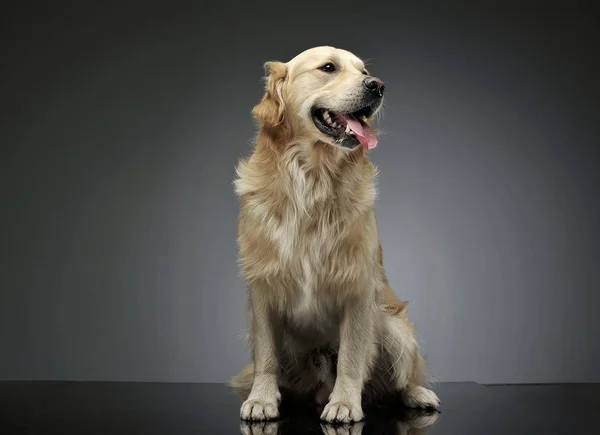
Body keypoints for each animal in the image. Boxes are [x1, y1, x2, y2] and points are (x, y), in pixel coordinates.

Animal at [227, 46, 438, 424]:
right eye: (328, 68)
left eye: (364, 71)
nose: (377, 86)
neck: (313, 177)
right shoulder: (263, 286)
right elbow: (266, 355)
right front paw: (262, 399)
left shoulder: (357, 287)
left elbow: (352, 357)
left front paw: (344, 403)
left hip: (394, 327)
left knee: (402, 378)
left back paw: (417, 394)